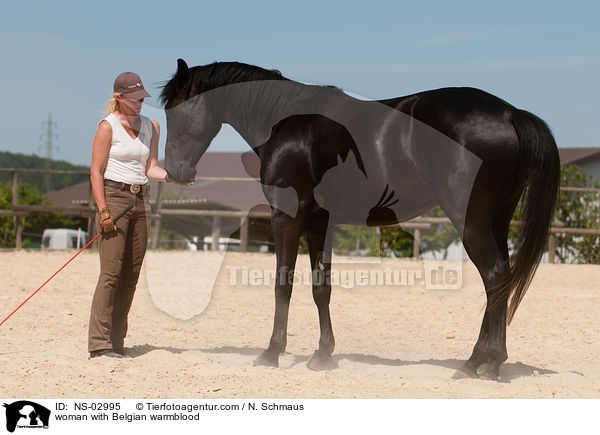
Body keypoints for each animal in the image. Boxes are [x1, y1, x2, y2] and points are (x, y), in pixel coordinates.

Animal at [158, 58, 556, 382]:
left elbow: (283, 284)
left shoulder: (286, 217)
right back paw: (489, 362)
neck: (286, 120)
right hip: (496, 222)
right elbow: (321, 288)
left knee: (495, 277)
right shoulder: (319, 223)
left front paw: (271, 354)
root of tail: (511, 114)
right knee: (501, 280)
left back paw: (478, 363)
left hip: (471, 224)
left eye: (174, 111)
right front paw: (322, 355)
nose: (176, 172)